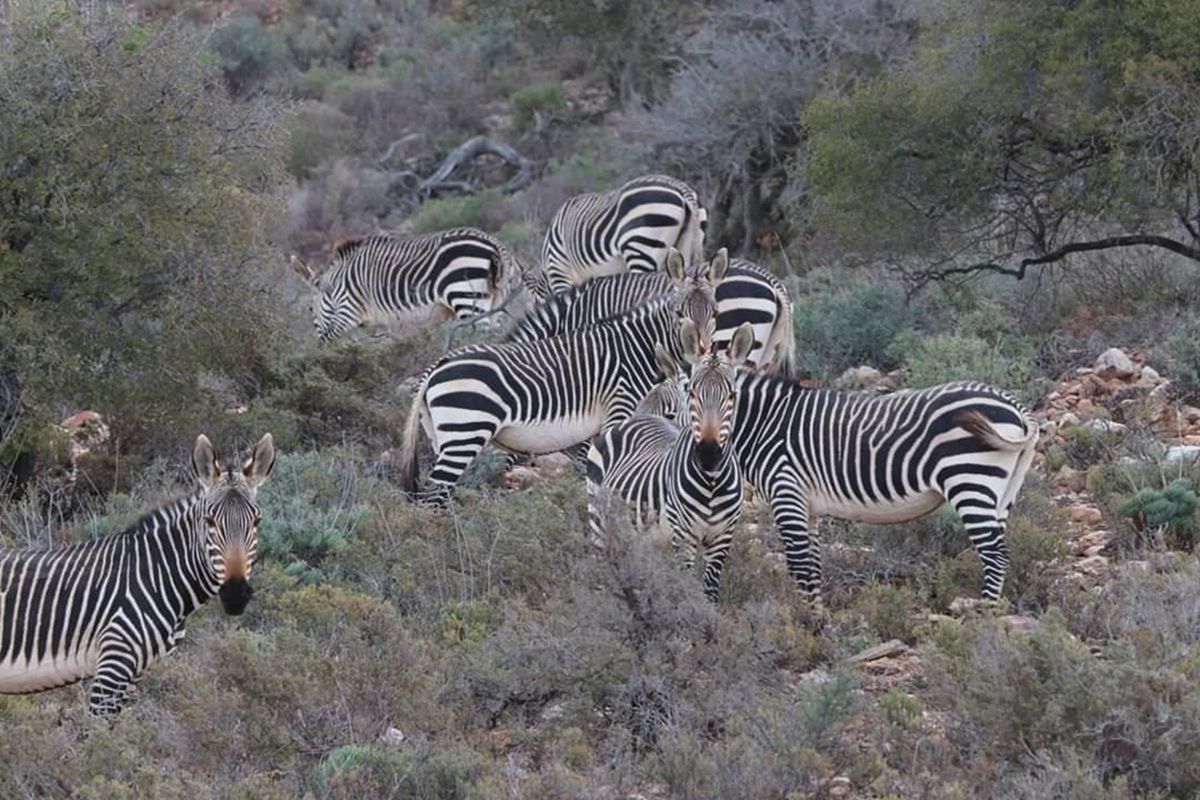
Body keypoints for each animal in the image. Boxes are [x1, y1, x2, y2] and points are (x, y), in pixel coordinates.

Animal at [0, 434, 276, 717]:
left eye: (257, 522)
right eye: (209, 521)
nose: (235, 595)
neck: (156, 575)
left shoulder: (134, 674)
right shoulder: (113, 664)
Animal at [291, 228, 525, 343]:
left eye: (310, 309)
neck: (336, 284)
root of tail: (495, 244)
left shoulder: (347, 310)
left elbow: (330, 339)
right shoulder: (380, 323)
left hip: (466, 295)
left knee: (481, 335)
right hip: (496, 299)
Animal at [397, 249, 720, 503]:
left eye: (715, 313)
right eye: (679, 313)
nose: (702, 351)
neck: (634, 346)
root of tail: (435, 368)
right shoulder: (618, 410)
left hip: (443, 437)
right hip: (464, 434)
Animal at [587, 324, 753, 601]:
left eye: (732, 395)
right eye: (693, 393)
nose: (708, 455)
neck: (713, 482)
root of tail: (636, 420)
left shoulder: (722, 537)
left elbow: (709, 592)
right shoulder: (684, 536)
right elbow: (687, 589)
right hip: (598, 520)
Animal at [728, 376, 1039, 600]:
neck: (763, 424)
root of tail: (1015, 405)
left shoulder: (786, 491)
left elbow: (799, 565)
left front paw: (805, 623)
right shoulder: (808, 506)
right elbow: (813, 566)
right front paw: (816, 615)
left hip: (969, 479)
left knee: (995, 555)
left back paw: (984, 616)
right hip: (1003, 491)